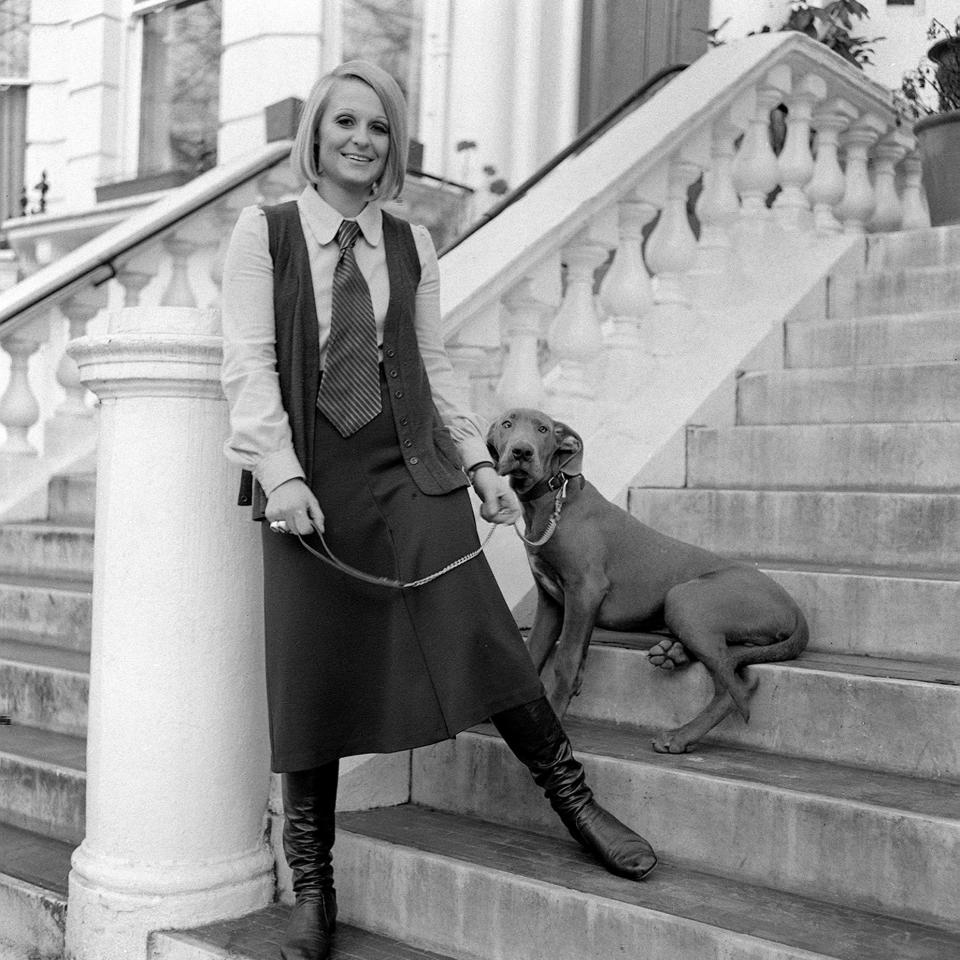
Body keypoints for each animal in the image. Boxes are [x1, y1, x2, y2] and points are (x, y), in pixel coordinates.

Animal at [488, 408, 808, 752]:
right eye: (507, 424)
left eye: (544, 430)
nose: (521, 452)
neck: (550, 500)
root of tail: (795, 611)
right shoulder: (551, 601)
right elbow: (532, 654)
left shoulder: (584, 591)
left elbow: (566, 662)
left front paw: (557, 722)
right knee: (733, 663)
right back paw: (672, 653)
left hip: (684, 599)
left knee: (735, 685)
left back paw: (680, 735)